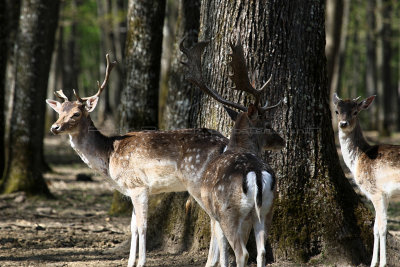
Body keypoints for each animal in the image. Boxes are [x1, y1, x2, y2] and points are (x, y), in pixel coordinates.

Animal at [181, 39, 284, 267]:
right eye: (268, 125)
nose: (282, 140)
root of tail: (256, 174)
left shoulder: (214, 213)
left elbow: (221, 250)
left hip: (229, 211)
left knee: (242, 252)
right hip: (266, 210)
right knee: (261, 251)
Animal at [332, 93, 400, 266]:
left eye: (355, 112)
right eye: (337, 111)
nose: (343, 123)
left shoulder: (375, 191)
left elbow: (382, 227)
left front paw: (382, 263)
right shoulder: (384, 195)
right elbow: (375, 228)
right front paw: (372, 262)